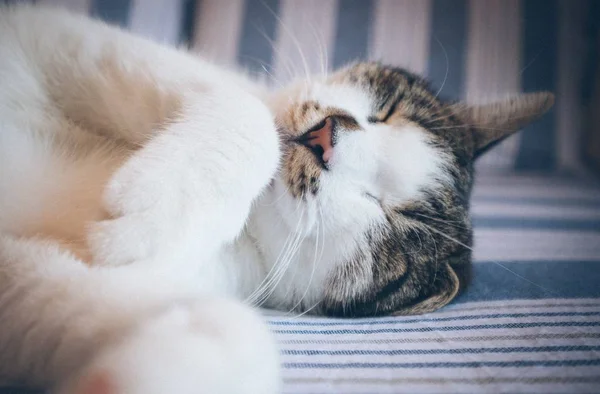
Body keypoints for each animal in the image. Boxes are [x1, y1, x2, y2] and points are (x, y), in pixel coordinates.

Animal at [0, 3, 552, 394]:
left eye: (391, 218)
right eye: (389, 109)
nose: (329, 136)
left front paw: (167, 362)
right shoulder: (62, 37)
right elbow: (252, 115)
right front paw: (159, 204)